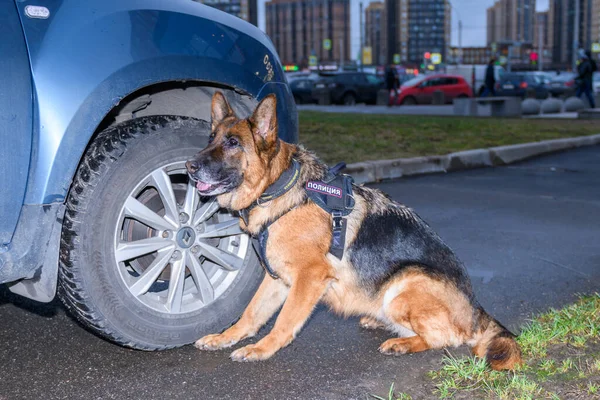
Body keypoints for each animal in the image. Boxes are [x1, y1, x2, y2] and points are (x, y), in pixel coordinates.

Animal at [186, 92, 520, 370]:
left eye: (233, 143)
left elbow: (283, 320)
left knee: (445, 338)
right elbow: (251, 313)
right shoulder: (278, 278)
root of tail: (476, 311)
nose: (189, 166)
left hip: (405, 282)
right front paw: (226, 337)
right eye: (211, 138)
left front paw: (261, 349)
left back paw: (401, 343)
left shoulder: (309, 278)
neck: (278, 187)